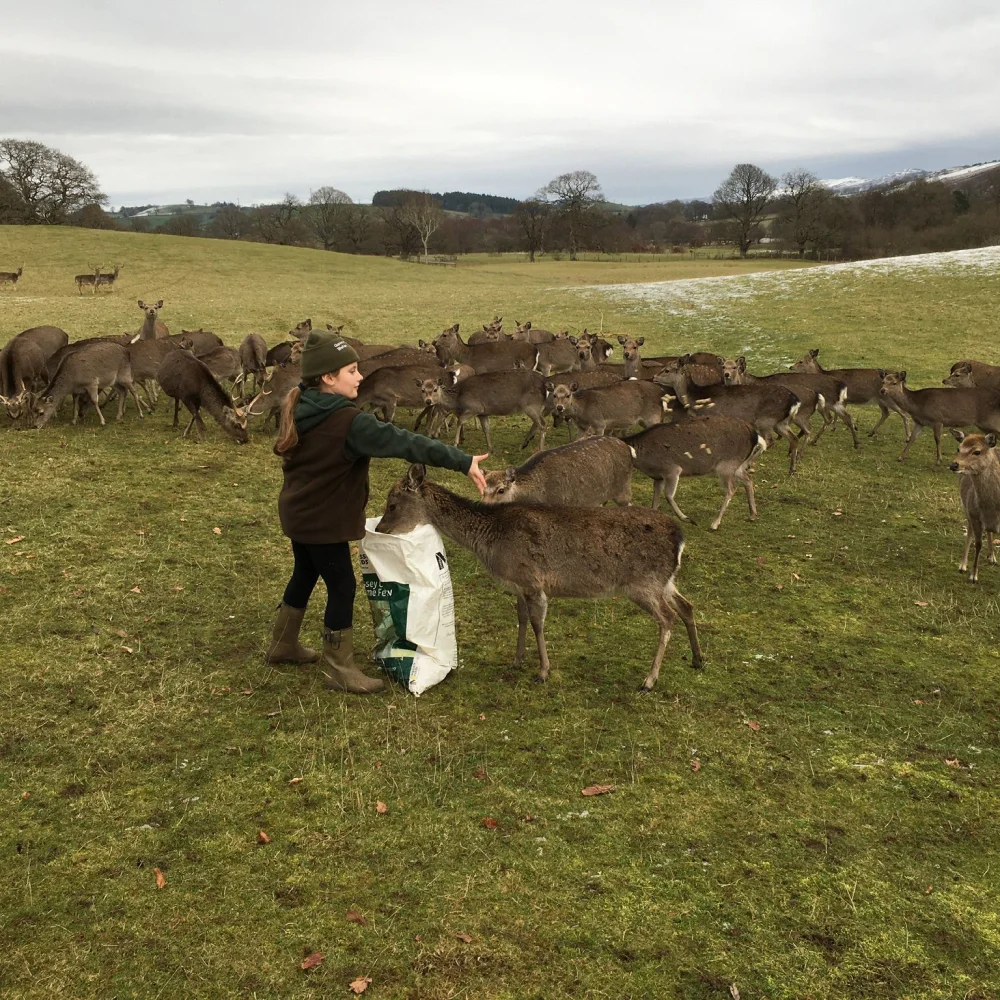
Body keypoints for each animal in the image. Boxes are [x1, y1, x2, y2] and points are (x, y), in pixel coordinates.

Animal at [376, 466, 704, 688]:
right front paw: (517, 660)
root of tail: (679, 538)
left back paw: (649, 679)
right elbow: (521, 619)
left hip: (642, 584)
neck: (491, 542)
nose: (379, 529)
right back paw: (698, 659)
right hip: (664, 581)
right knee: (687, 606)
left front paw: (543, 672)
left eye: (392, 505)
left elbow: (537, 623)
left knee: (667, 619)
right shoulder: (518, 585)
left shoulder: (532, 580)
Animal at [624, 414, 764, 532]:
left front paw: (688, 519)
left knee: (732, 489)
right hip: (737, 465)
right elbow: (655, 499)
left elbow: (668, 495)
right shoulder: (658, 477)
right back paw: (752, 515)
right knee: (748, 478)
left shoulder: (672, 469)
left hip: (727, 465)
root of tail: (754, 434)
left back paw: (715, 523)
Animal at [944, 432, 1000, 584]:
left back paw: (992, 557)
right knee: (970, 531)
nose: (953, 465)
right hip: (966, 507)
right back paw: (963, 565)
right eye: (958, 448)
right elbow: (978, 543)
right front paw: (973, 575)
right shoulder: (974, 514)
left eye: (977, 451)